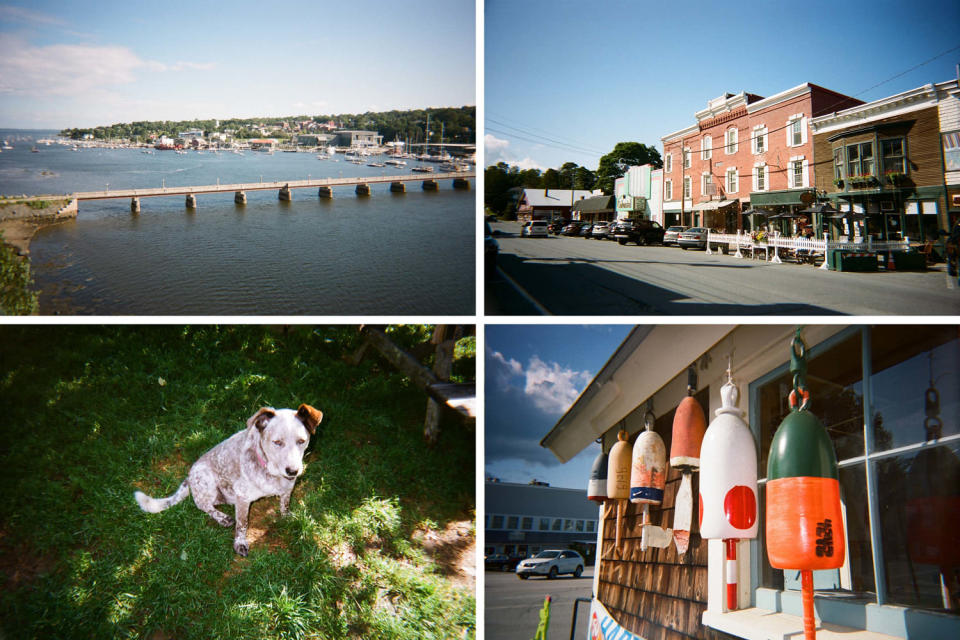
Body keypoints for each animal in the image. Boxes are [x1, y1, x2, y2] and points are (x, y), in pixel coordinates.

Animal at [134, 404, 326, 556]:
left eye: (301, 441)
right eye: (277, 442)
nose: (293, 471)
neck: (271, 472)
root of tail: (189, 477)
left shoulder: (288, 488)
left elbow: (284, 505)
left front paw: (287, 517)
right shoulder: (242, 498)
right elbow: (242, 524)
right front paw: (240, 543)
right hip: (206, 480)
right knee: (202, 505)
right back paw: (222, 517)